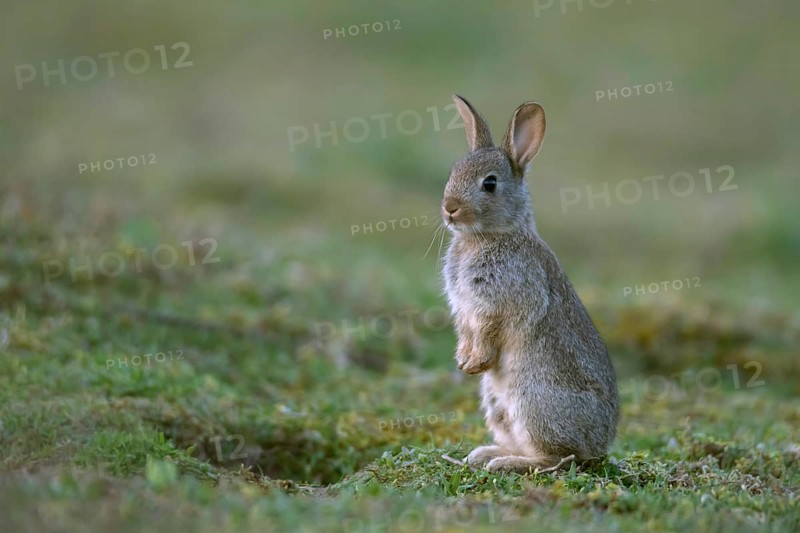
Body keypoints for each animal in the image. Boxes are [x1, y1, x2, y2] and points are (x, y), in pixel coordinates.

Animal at [441, 95, 619, 473]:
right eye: (454, 172)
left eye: (489, 184)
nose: (449, 208)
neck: (491, 235)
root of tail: (600, 444)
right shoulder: (463, 306)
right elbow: (465, 329)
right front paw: (464, 361)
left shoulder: (504, 300)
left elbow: (491, 328)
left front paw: (475, 363)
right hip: (497, 406)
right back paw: (486, 454)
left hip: (532, 402)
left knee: (560, 457)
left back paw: (504, 464)